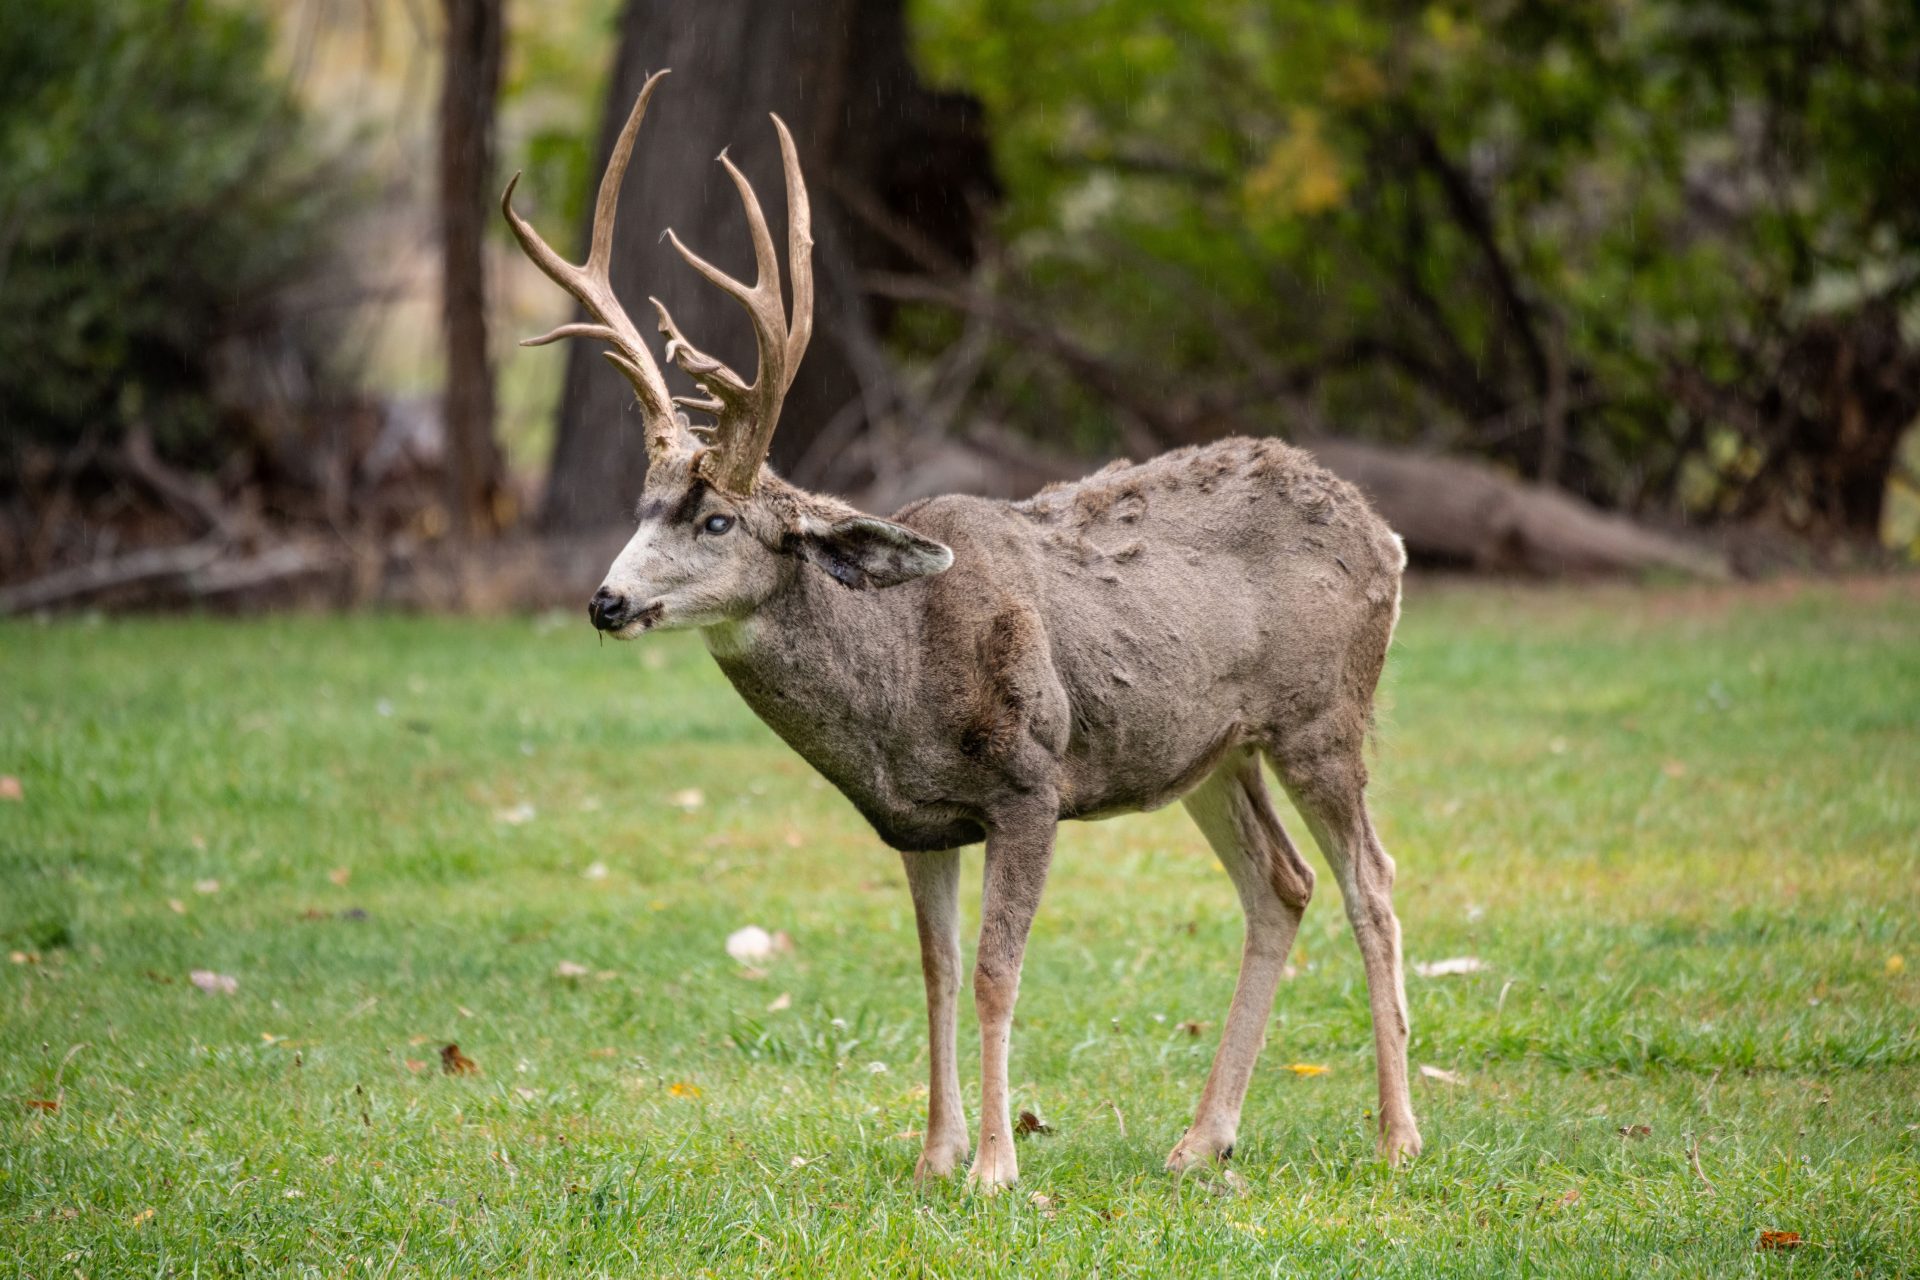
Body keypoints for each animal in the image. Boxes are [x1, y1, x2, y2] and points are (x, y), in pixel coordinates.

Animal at [506, 72, 1428, 1189]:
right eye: (641, 507)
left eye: (718, 519)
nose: (605, 600)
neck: (901, 684)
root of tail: (1386, 534)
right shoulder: (916, 821)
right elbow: (936, 970)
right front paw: (934, 1156)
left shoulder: (1030, 782)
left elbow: (995, 971)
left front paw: (996, 1165)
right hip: (1214, 750)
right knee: (1282, 885)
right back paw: (1202, 1138)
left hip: (1322, 715)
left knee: (1373, 883)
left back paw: (1398, 1135)